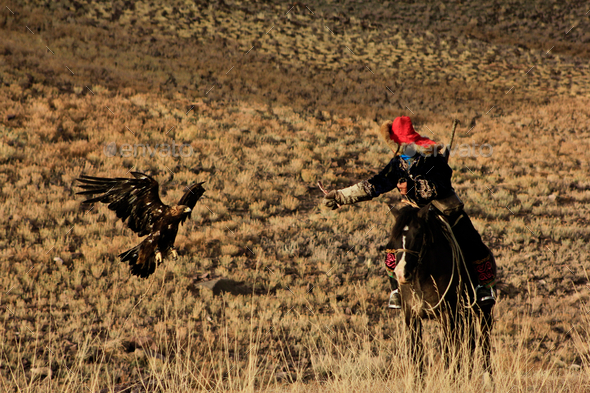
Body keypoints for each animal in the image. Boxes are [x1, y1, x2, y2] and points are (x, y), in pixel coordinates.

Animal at [388, 202, 494, 380]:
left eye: (418, 235)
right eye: (394, 237)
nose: (402, 273)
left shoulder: (447, 316)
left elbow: (448, 355)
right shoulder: (411, 317)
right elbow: (417, 356)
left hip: (481, 312)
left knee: (483, 344)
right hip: (465, 316)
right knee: (470, 345)